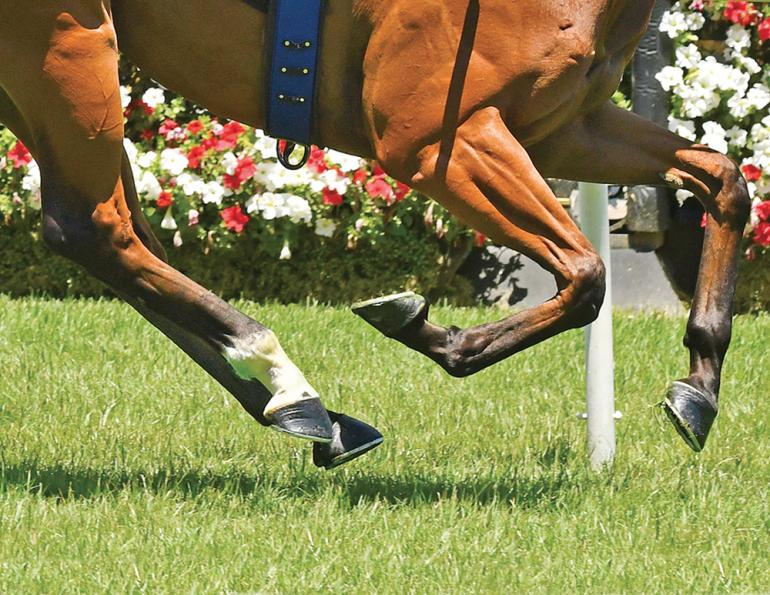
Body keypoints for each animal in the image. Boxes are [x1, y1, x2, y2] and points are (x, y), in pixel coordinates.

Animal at [0, 0, 749, 462]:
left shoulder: (564, 127)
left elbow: (724, 180)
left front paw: (699, 387)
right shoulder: (435, 138)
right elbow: (587, 273)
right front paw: (432, 331)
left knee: (114, 238)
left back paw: (310, 412)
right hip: (65, 43)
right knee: (96, 227)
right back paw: (286, 380)